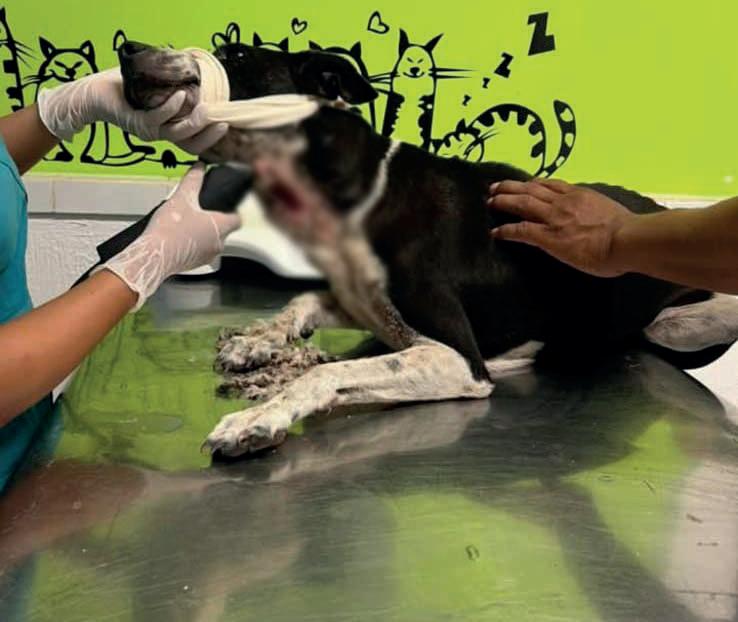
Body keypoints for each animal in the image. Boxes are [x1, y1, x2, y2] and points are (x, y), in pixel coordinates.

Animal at [108, 41, 738, 458]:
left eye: (235, 57)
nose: (128, 48)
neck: (357, 189)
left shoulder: (457, 359)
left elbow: (325, 375)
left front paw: (260, 416)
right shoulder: (360, 296)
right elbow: (302, 304)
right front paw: (259, 342)